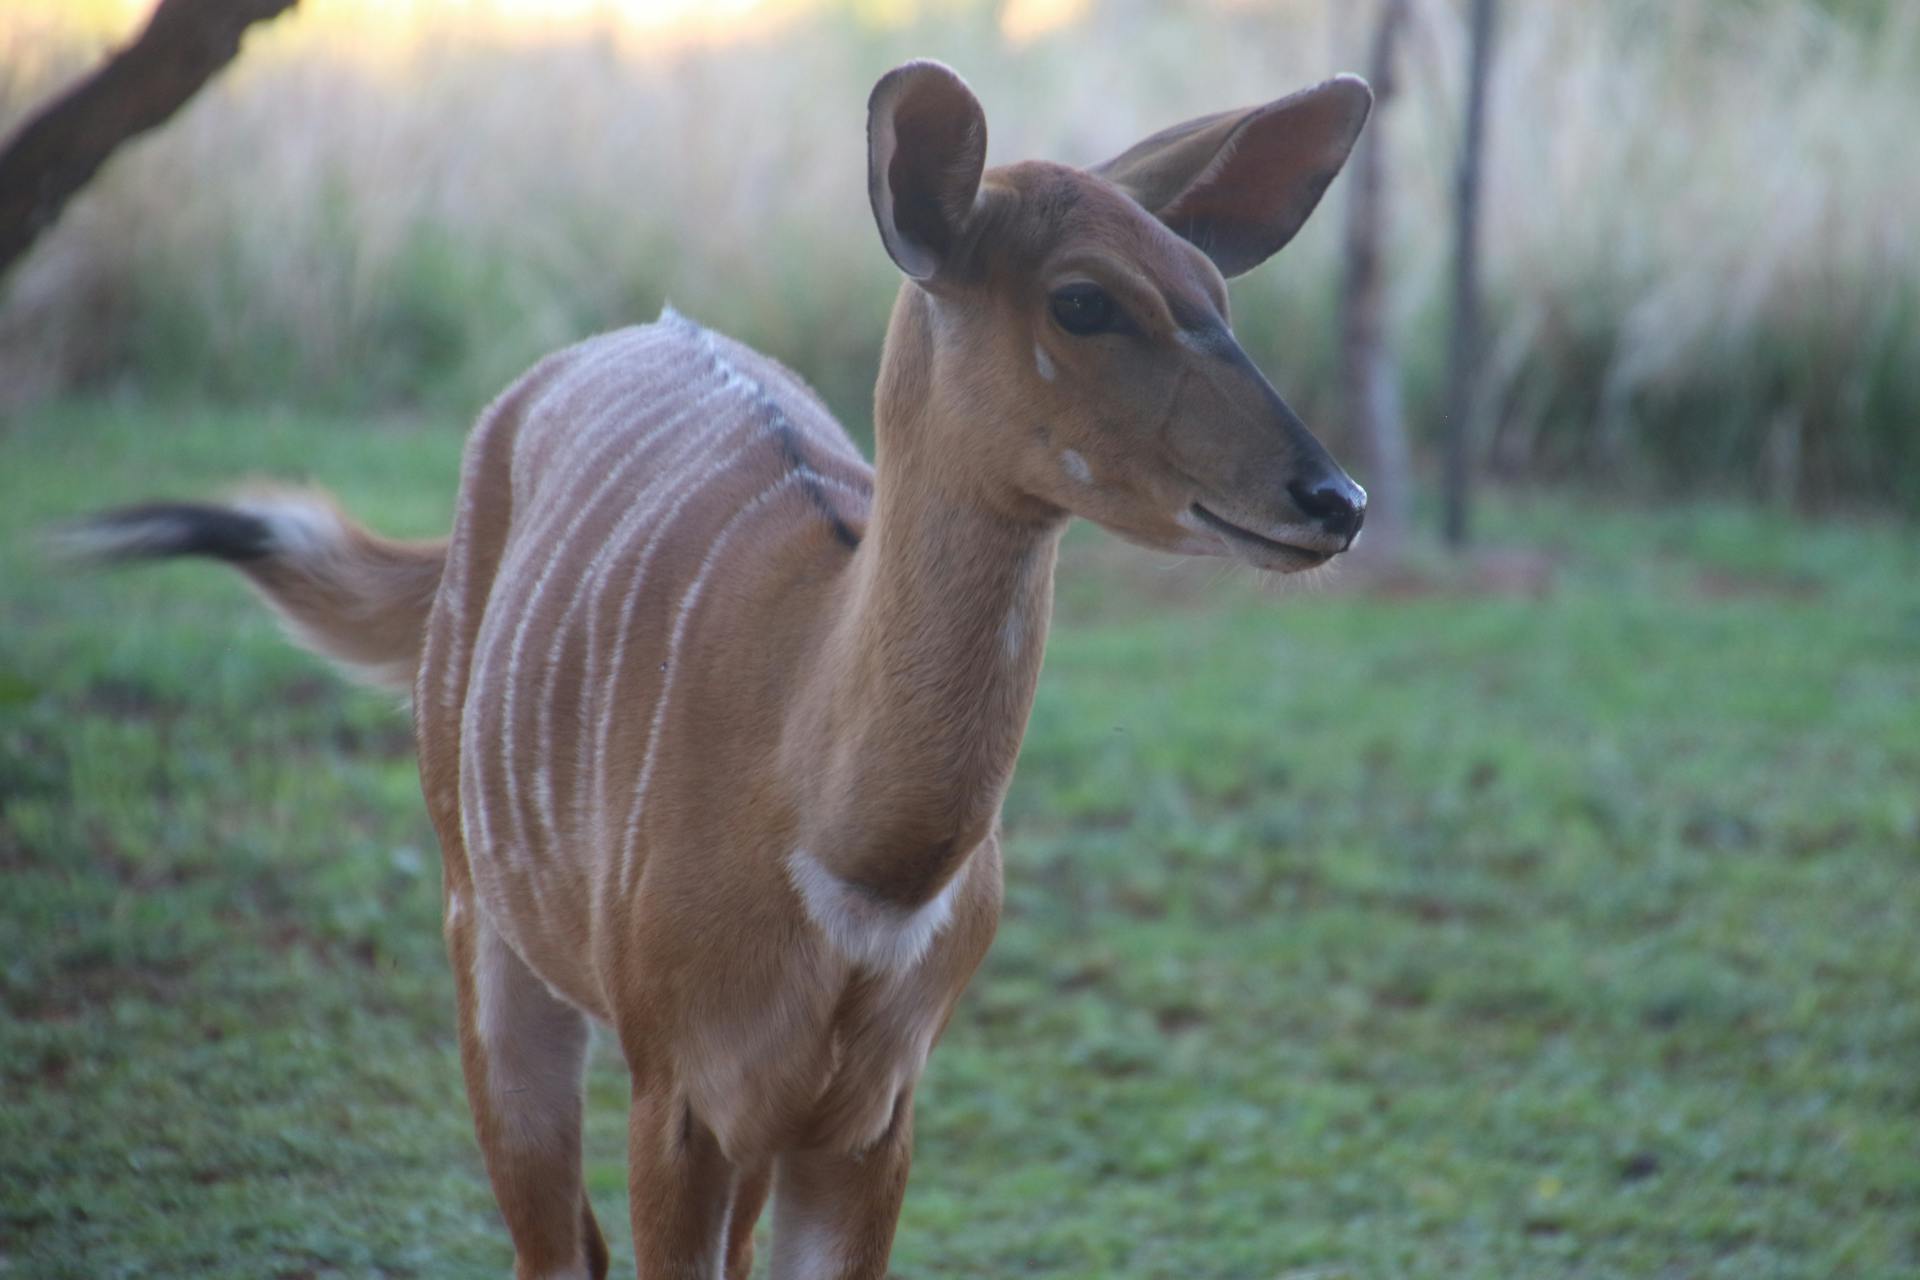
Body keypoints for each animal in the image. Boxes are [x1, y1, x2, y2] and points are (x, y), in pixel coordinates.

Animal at [67, 57, 1374, 1280]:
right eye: (1084, 300)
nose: (1336, 497)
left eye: (1217, 293)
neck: (854, 853)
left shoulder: (864, 1117)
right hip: (486, 936)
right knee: (554, 1241)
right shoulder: (679, 1096)